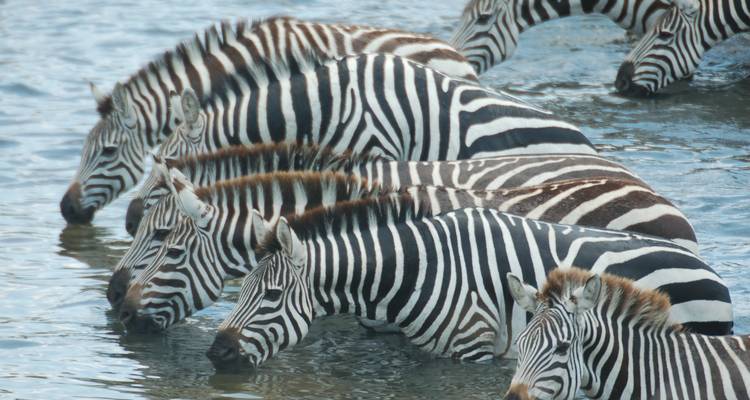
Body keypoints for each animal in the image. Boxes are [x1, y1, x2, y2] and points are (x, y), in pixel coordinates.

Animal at [205, 193, 732, 370]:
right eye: (242, 290)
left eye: (272, 295)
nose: (216, 353)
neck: (417, 269)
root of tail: (713, 273)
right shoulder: (433, 354)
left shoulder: (472, 349)